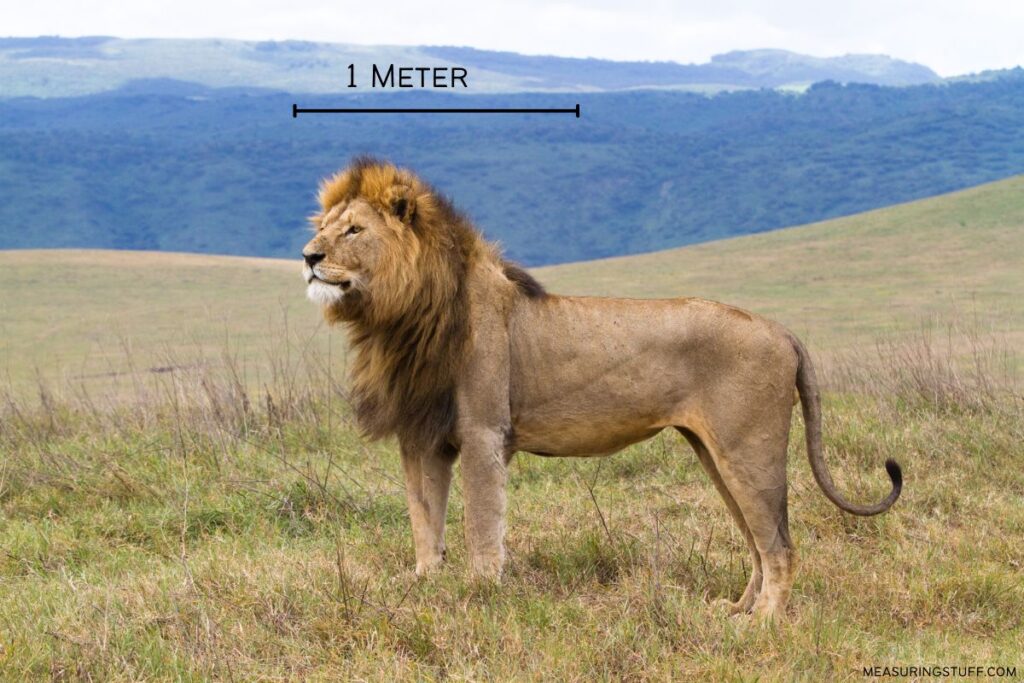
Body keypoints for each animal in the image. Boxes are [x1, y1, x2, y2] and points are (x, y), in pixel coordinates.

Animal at [301, 157, 902, 621]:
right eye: (325, 224)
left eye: (353, 231)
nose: (308, 256)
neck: (398, 317)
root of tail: (782, 330)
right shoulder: (421, 436)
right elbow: (425, 521)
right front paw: (424, 586)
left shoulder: (483, 433)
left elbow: (481, 526)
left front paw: (480, 593)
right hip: (715, 453)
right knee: (758, 543)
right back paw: (735, 611)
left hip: (748, 450)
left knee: (779, 546)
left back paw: (764, 624)